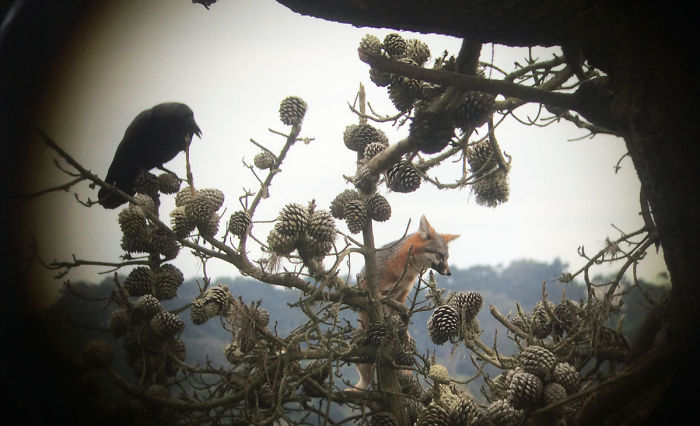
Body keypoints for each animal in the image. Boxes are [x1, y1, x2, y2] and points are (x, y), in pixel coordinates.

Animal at [350, 215, 459, 391]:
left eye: (447, 258)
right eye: (439, 255)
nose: (449, 273)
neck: (406, 271)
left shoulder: (400, 296)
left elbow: (400, 317)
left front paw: (403, 333)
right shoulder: (375, 294)